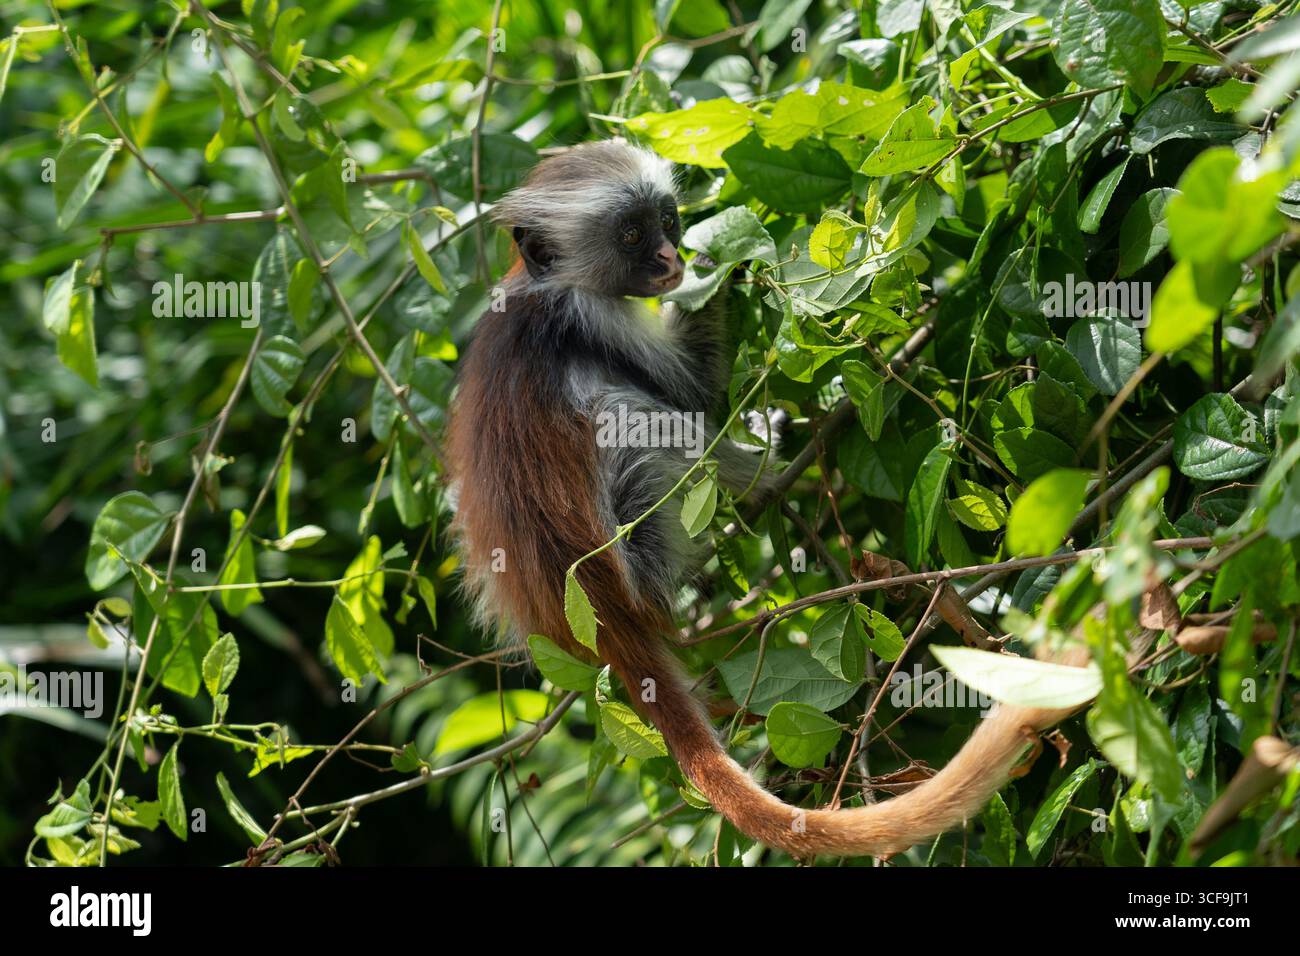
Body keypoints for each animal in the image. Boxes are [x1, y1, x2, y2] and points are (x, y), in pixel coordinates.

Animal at [444, 139, 1083, 860]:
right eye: (633, 234)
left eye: (666, 220)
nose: (670, 258)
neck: (540, 286)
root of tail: (602, 619)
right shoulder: (594, 314)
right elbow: (692, 393)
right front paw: (728, 260)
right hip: (641, 538)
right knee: (630, 415)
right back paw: (771, 470)